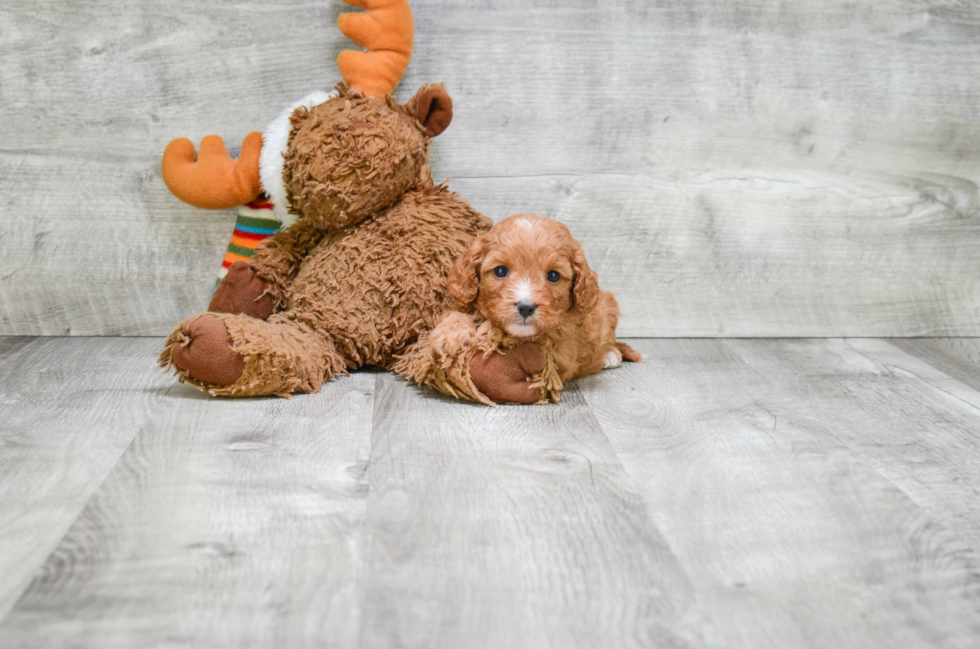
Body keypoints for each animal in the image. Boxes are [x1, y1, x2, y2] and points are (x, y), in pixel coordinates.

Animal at [394, 215, 640, 402]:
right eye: (500, 271)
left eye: (553, 276)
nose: (526, 307)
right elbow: (459, 312)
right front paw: (448, 335)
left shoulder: (563, 347)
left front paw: (487, 332)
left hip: (607, 305)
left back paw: (610, 355)